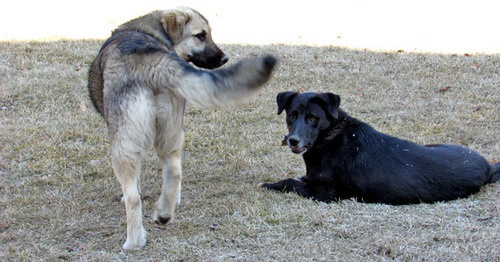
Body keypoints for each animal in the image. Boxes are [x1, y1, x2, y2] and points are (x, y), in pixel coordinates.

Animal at [89, 7, 278, 251]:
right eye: (201, 35)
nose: (225, 58)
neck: (148, 31)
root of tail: (151, 62)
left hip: (123, 145)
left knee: (133, 198)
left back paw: (133, 241)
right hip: (171, 132)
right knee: (175, 172)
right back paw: (164, 213)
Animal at [260, 92, 498, 205]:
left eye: (312, 118)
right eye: (291, 116)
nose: (293, 140)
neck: (331, 136)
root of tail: (488, 167)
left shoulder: (322, 194)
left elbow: (290, 182)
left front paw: (270, 184)